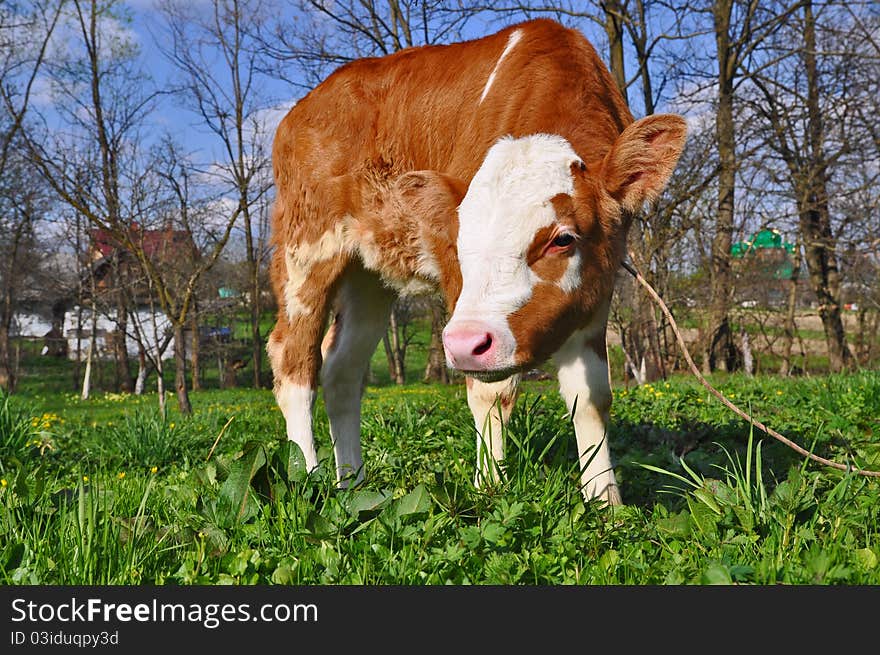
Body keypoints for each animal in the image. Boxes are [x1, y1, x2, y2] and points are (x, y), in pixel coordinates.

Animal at [268, 18, 688, 504]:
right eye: (459, 241)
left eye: (563, 239)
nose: (466, 342)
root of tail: (304, 107)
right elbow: (492, 392)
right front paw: (490, 490)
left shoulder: (597, 286)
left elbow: (591, 395)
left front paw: (605, 501)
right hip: (306, 252)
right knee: (295, 363)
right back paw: (308, 480)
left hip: (370, 276)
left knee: (342, 369)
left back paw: (353, 485)